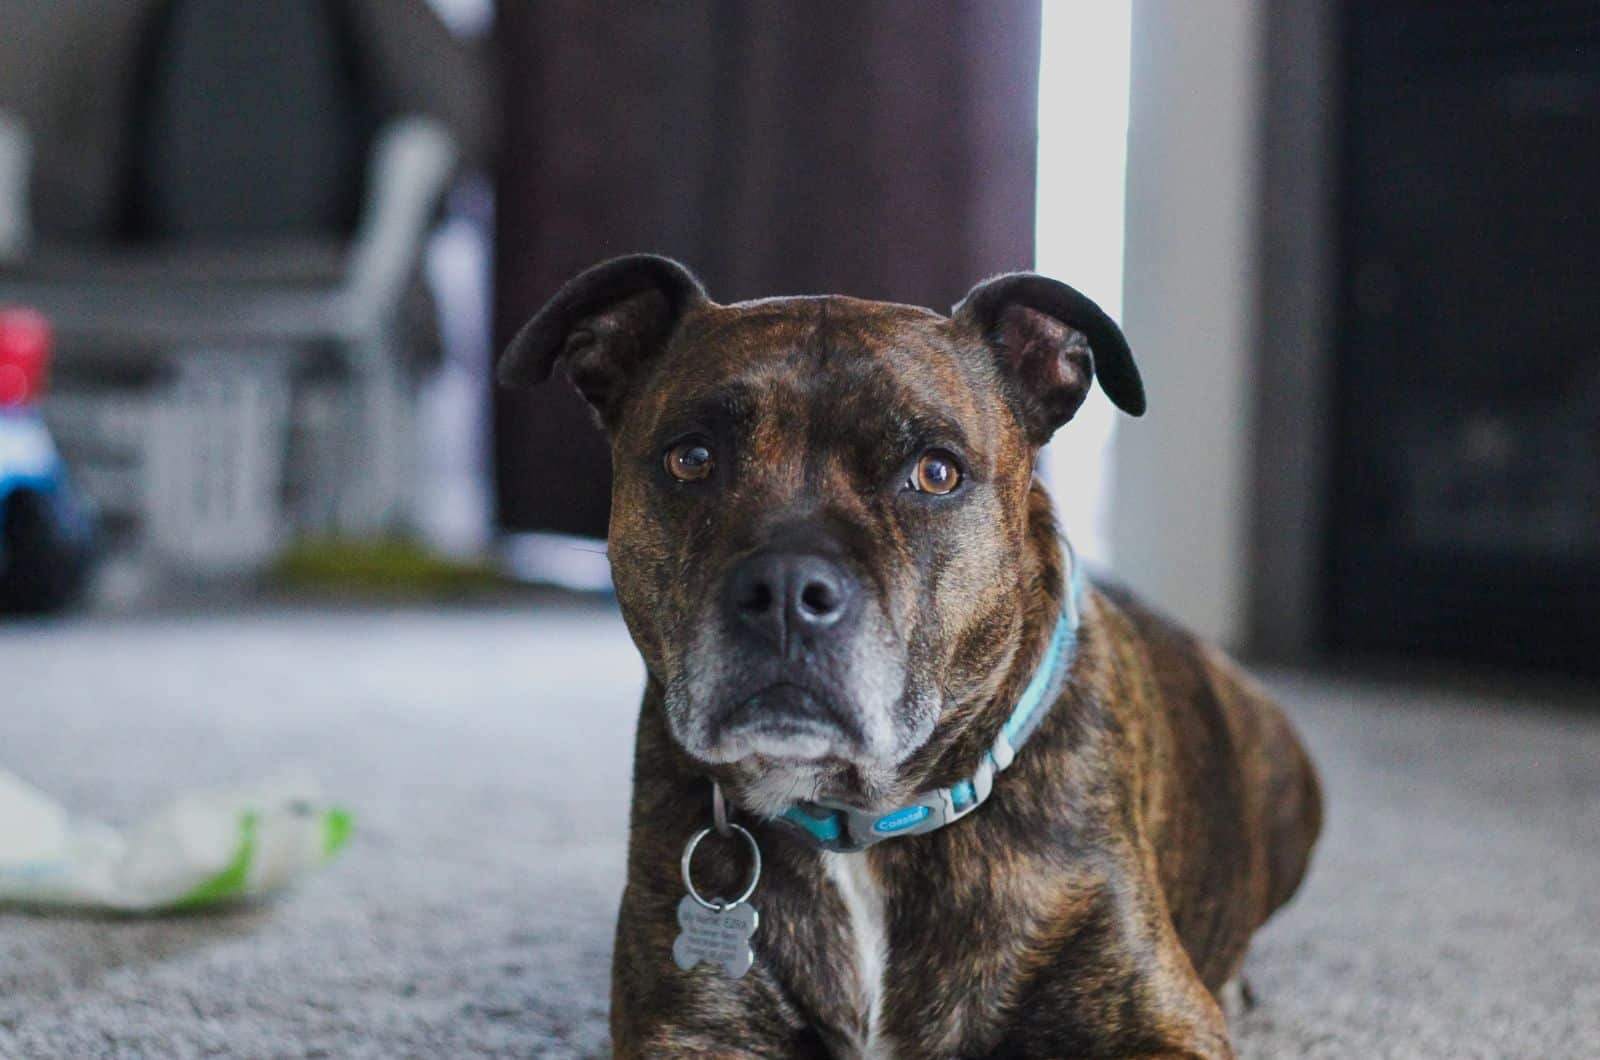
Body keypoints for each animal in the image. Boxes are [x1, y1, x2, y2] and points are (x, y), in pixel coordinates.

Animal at [502, 257, 1324, 1060]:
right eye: (692, 459)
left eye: (936, 472)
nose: (786, 590)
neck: (860, 821)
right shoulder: (690, 1028)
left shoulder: (1156, 1022)